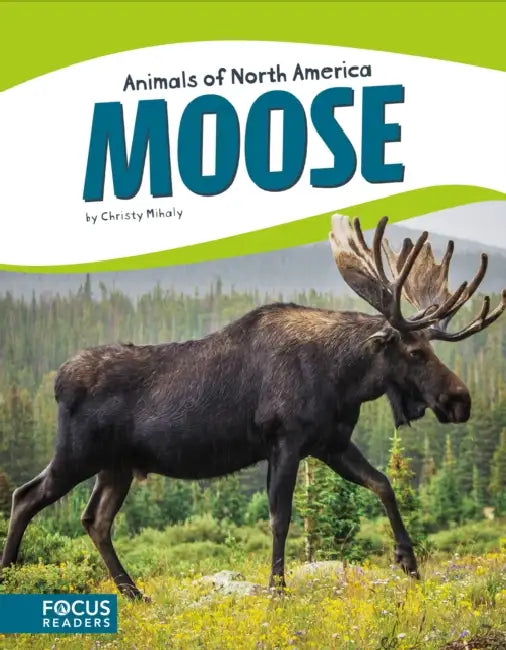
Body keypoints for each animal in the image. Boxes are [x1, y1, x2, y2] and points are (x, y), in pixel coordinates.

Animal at [1, 215, 505, 599]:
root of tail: (58, 380)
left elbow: (383, 484)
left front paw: (409, 563)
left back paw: (134, 592)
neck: (342, 379)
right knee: (26, 495)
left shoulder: (330, 444)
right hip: (78, 454)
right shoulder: (285, 440)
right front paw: (277, 590)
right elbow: (280, 516)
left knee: (95, 520)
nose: (460, 400)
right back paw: (11, 572)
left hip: (117, 466)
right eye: (415, 352)